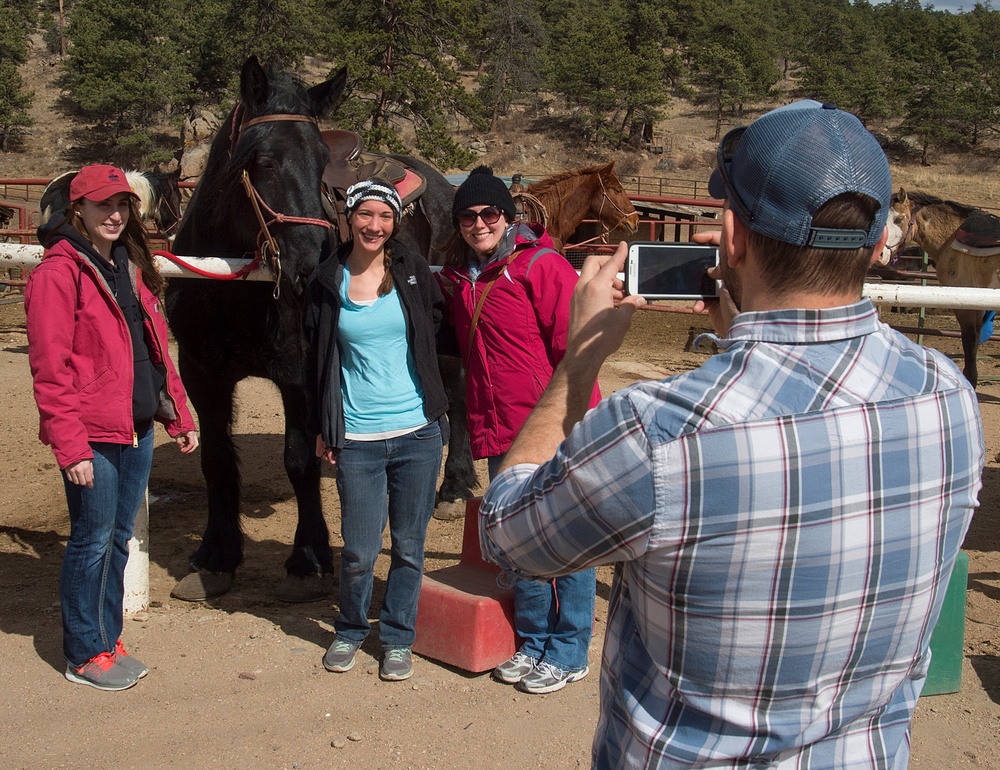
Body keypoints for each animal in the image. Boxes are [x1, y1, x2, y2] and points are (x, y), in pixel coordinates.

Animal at [166, 57, 474, 604]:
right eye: (263, 160)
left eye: (319, 162)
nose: (312, 264)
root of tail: (444, 186)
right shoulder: (201, 373)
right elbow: (216, 461)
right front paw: (216, 557)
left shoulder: (299, 374)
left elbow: (299, 461)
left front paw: (307, 560)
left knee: (455, 396)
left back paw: (454, 487)